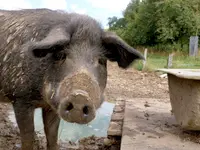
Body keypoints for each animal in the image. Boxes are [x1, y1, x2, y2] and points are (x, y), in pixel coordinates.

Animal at [0, 8, 144, 150]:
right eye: (60, 55)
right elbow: (28, 137)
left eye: (101, 60)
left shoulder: (51, 107)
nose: (80, 96)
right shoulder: (20, 98)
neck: (41, 98)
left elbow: (52, 136)